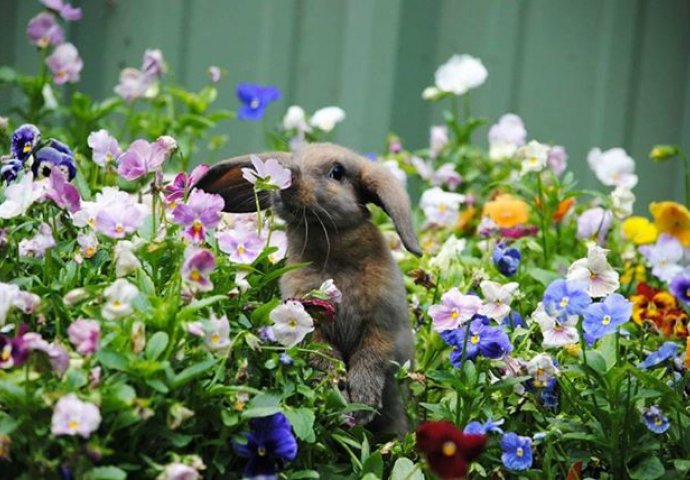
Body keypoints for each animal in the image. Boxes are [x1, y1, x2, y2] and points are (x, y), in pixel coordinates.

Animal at [194, 143, 420, 438]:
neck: (331, 250)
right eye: (292, 160)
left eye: (337, 172)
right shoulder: (310, 323)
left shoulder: (383, 322)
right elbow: (323, 356)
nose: (289, 177)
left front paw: (362, 402)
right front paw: (338, 392)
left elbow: (371, 357)